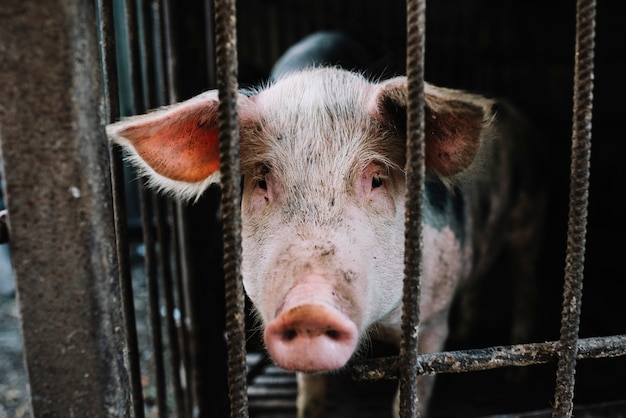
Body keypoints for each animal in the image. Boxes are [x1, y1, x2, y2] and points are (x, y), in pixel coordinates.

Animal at [105, 49, 544, 418]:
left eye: (377, 179)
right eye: (262, 182)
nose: (308, 305)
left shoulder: (433, 321)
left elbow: (413, 391)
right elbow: (310, 394)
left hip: (528, 215)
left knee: (525, 281)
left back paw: (516, 376)